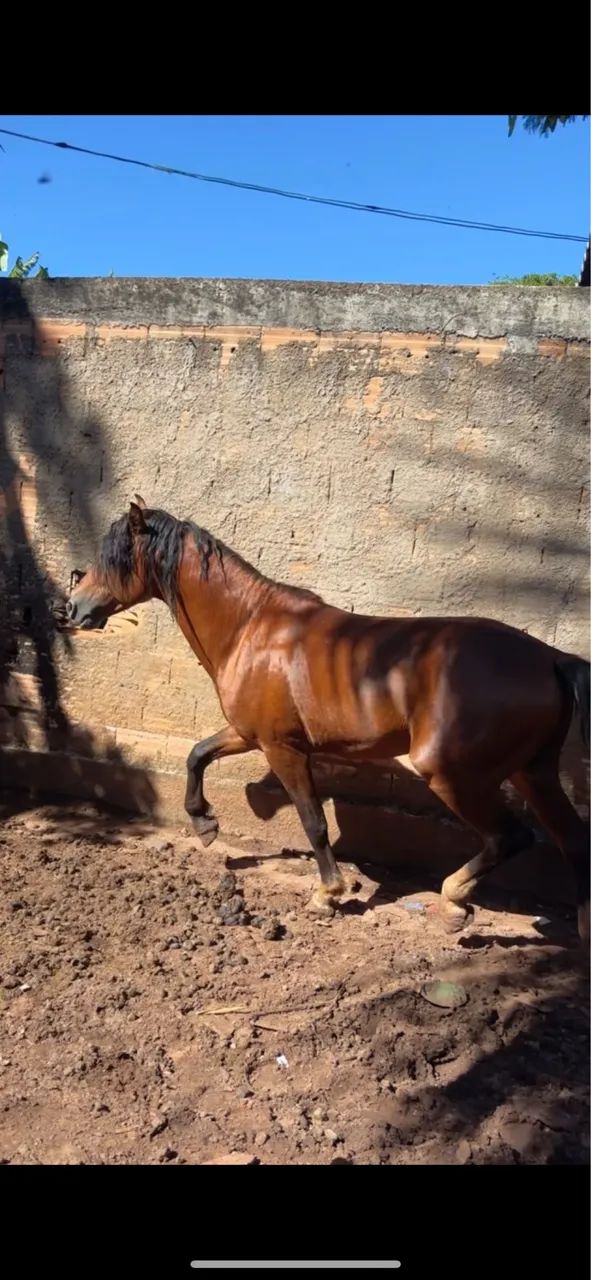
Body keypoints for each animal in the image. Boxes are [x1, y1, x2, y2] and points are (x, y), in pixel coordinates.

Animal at [65, 497, 590, 944]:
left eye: (115, 557)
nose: (73, 607)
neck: (251, 627)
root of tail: (550, 658)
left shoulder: (283, 749)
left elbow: (312, 821)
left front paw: (327, 895)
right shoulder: (248, 734)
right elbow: (198, 754)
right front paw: (204, 823)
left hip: (454, 776)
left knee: (510, 837)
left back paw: (454, 903)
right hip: (532, 772)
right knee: (572, 840)